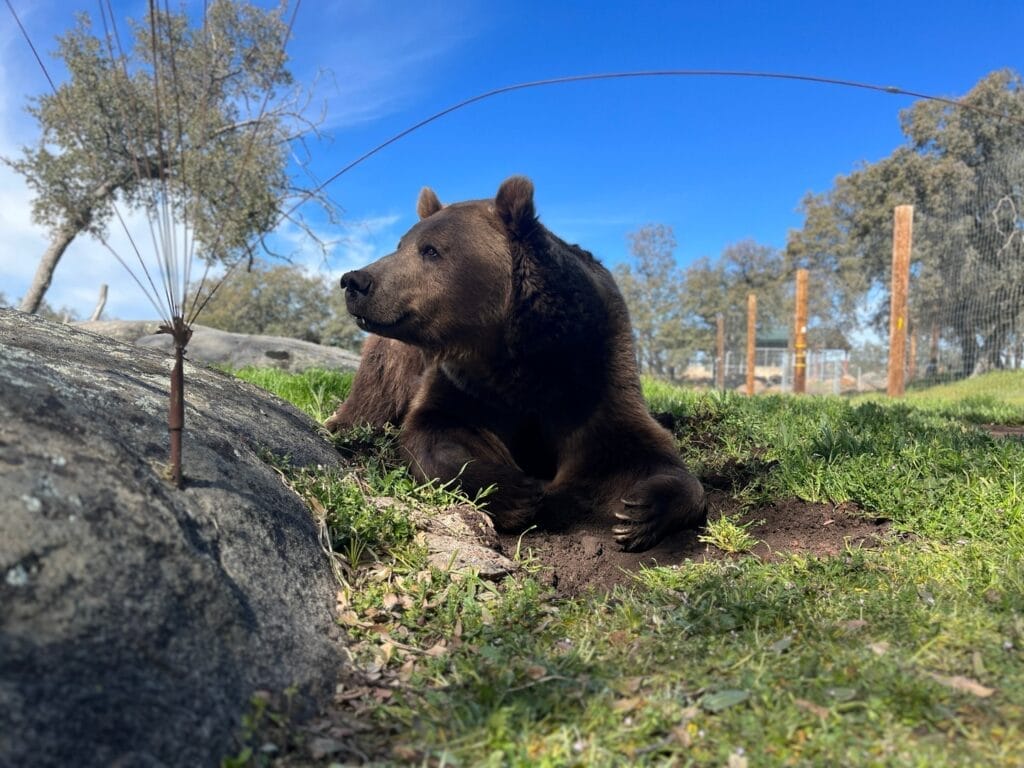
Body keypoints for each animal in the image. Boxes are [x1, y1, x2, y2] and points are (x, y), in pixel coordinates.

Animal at [325, 176, 705, 552]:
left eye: (430, 249)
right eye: (402, 244)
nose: (355, 281)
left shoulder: (596, 375)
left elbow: (637, 450)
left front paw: (640, 512)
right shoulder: (469, 387)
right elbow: (439, 431)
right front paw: (515, 491)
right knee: (373, 397)